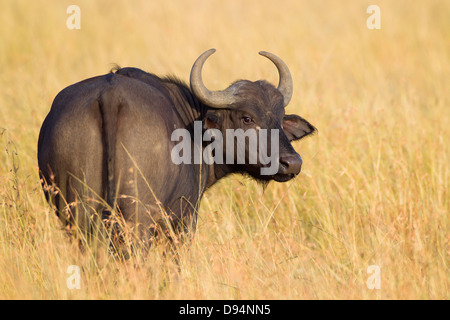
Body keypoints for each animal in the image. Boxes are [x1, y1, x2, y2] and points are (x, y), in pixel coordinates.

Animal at [38, 48, 316, 248]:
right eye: (247, 118)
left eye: (280, 117)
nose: (292, 163)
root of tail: (110, 96)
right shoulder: (184, 219)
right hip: (138, 218)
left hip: (78, 213)